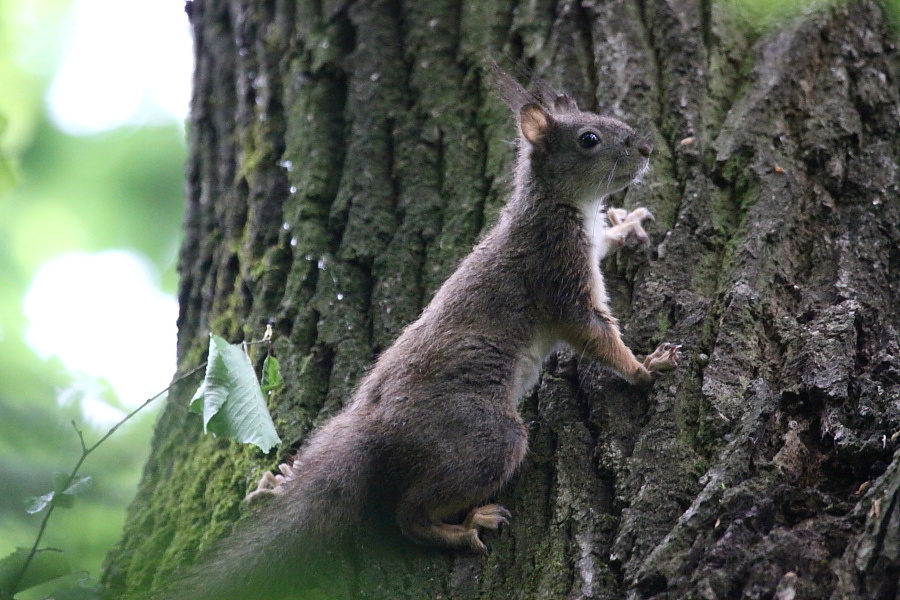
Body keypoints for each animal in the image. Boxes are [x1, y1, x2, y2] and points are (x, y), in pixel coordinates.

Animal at [165, 63, 680, 596]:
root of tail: (374, 430)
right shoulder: (556, 271)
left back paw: (279, 484)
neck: (559, 205)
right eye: (589, 139)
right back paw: (465, 528)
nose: (645, 149)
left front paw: (626, 224)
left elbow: (608, 244)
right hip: (486, 435)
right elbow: (594, 333)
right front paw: (645, 368)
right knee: (408, 514)